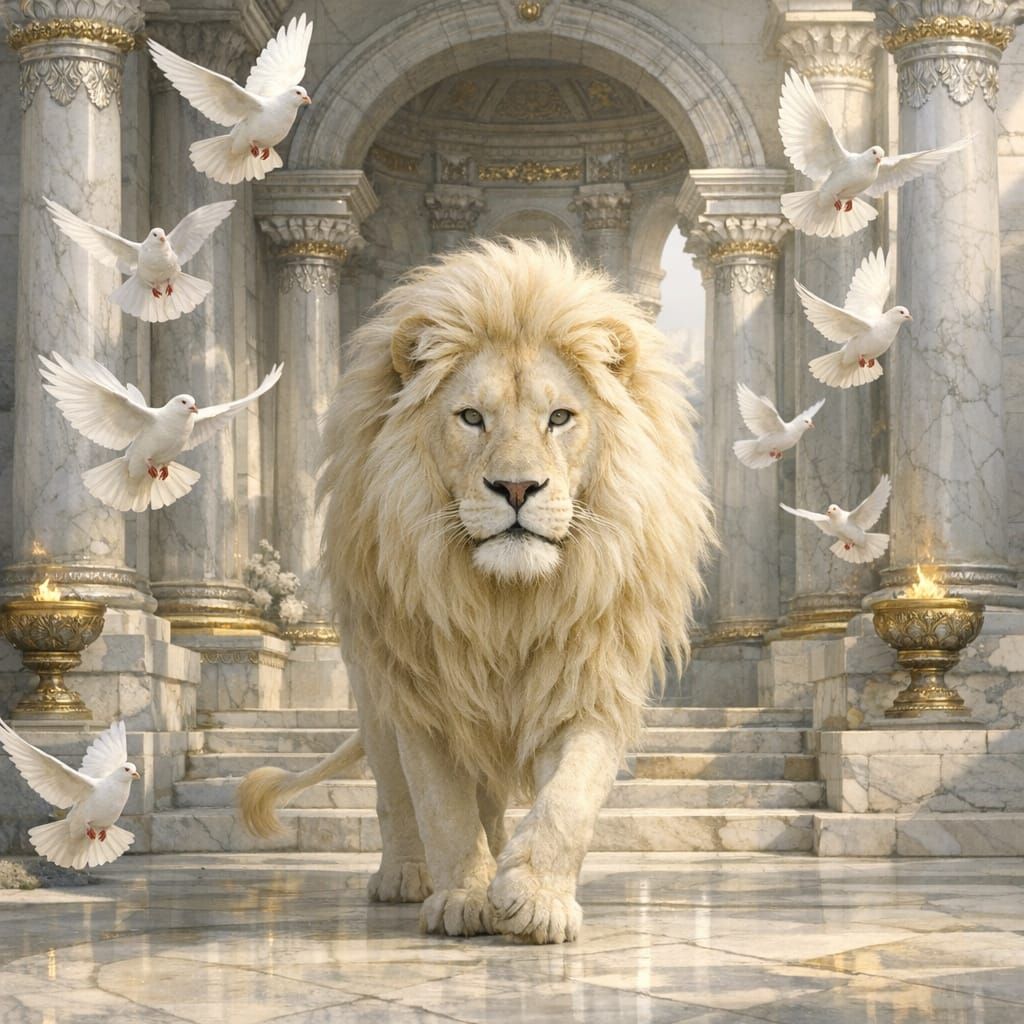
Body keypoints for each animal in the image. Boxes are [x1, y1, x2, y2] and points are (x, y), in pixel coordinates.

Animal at [239, 238, 713, 944]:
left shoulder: (591, 679)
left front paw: (534, 898)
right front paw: (464, 896)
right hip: (375, 692)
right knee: (395, 796)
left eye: (559, 418)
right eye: (470, 418)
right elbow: (442, 806)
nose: (516, 488)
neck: (506, 603)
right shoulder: (424, 692)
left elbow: (569, 799)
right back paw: (406, 875)